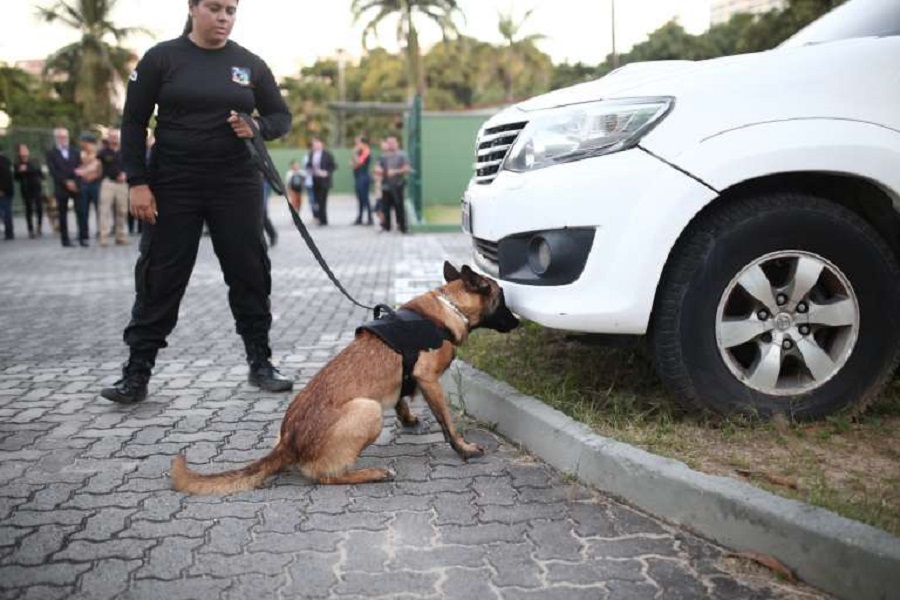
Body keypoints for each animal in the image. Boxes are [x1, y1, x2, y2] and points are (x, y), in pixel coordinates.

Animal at [171, 260, 520, 494]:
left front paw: (408, 420)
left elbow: (402, 399)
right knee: (324, 475)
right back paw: (373, 473)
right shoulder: (429, 379)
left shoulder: (409, 378)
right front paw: (463, 448)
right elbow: (447, 422)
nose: (518, 322)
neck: (449, 308)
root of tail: (289, 442)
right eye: (502, 297)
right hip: (368, 410)